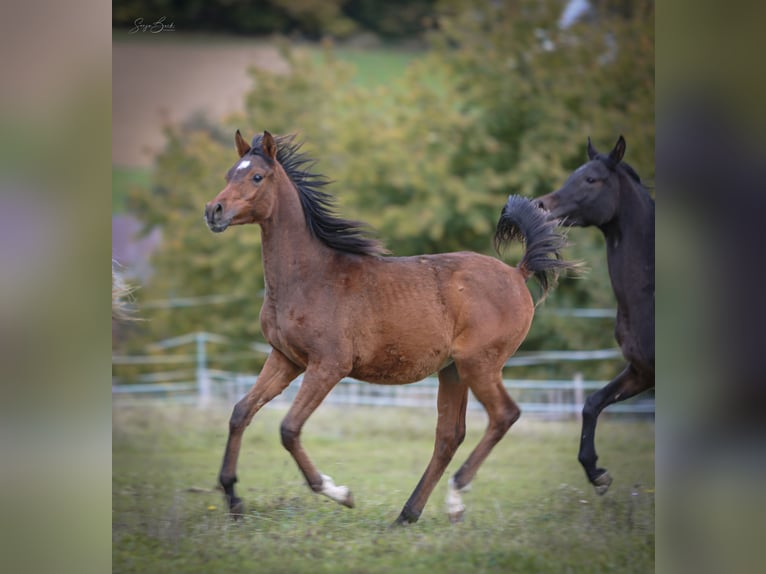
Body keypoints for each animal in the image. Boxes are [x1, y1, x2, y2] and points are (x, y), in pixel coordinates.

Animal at [204, 130, 577, 525]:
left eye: (257, 176)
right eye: (229, 173)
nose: (213, 211)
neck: (309, 277)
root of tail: (516, 273)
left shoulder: (328, 366)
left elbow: (289, 429)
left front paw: (340, 493)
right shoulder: (285, 359)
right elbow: (240, 412)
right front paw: (232, 497)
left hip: (480, 363)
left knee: (504, 415)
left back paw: (455, 496)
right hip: (453, 370)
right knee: (449, 436)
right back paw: (407, 515)